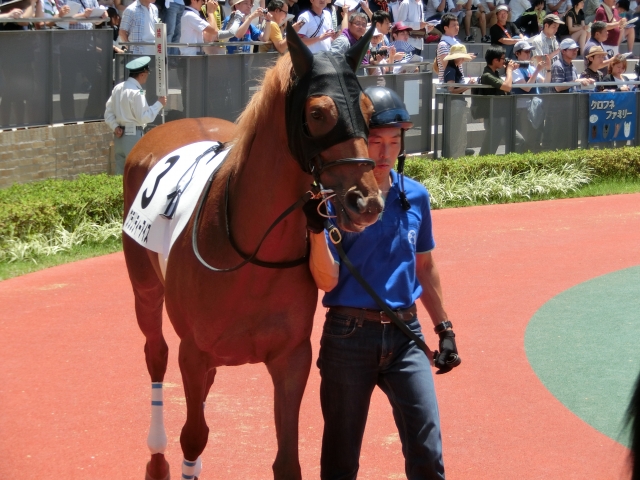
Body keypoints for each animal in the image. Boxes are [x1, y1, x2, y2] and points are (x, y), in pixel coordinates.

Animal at [122, 25, 383, 480]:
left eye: (367, 111)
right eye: (318, 113)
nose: (365, 202)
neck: (249, 255)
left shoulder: (292, 357)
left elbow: (287, 460)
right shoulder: (193, 351)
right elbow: (193, 435)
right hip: (145, 292)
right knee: (155, 354)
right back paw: (157, 452)